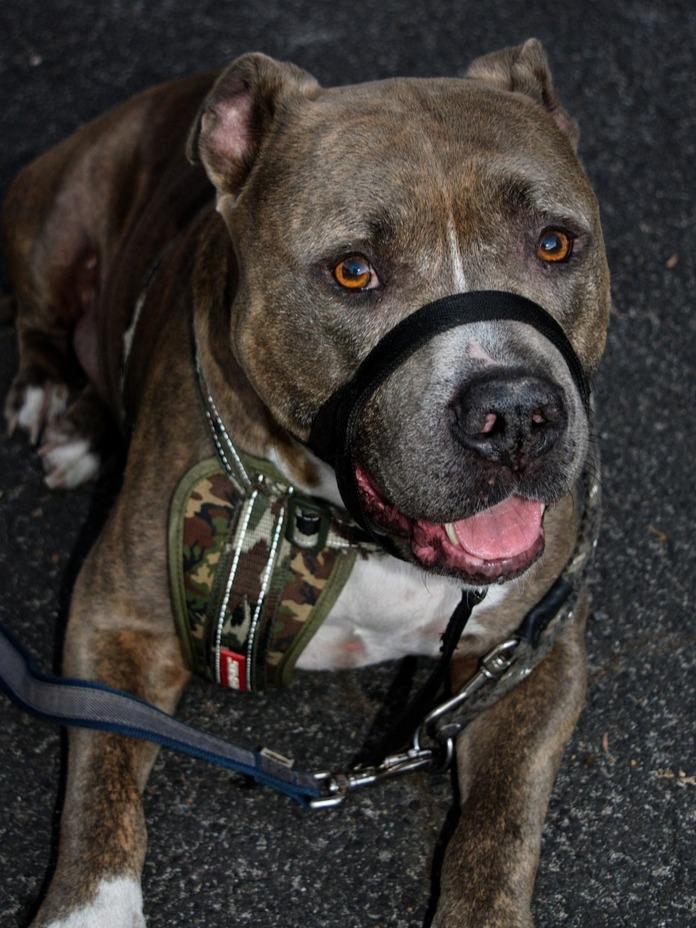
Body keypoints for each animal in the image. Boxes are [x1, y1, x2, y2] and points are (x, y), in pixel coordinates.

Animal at [1, 38, 608, 928]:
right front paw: (91, 910)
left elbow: (499, 826)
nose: (517, 413)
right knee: (41, 319)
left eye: (555, 243)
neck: (354, 527)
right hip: (53, 217)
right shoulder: (116, 622)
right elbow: (100, 796)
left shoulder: (531, 655)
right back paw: (56, 406)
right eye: (353, 272)